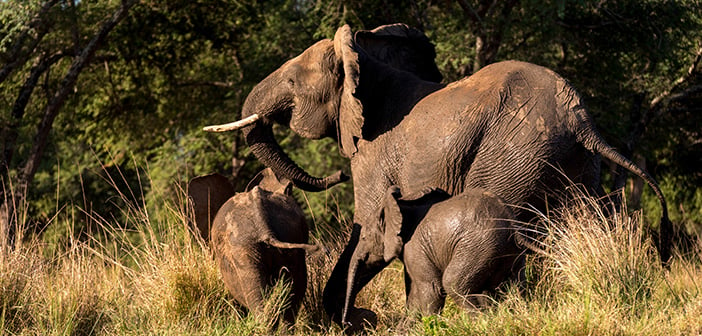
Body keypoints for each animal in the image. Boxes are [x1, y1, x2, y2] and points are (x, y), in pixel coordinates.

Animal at [344, 186, 524, 326]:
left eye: (363, 237)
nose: (347, 323)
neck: (400, 208)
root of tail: (511, 222)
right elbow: (415, 297)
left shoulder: (415, 248)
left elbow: (432, 289)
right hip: (507, 251)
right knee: (510, 286)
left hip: (478, 245)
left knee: (453, 283)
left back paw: (480, 323)